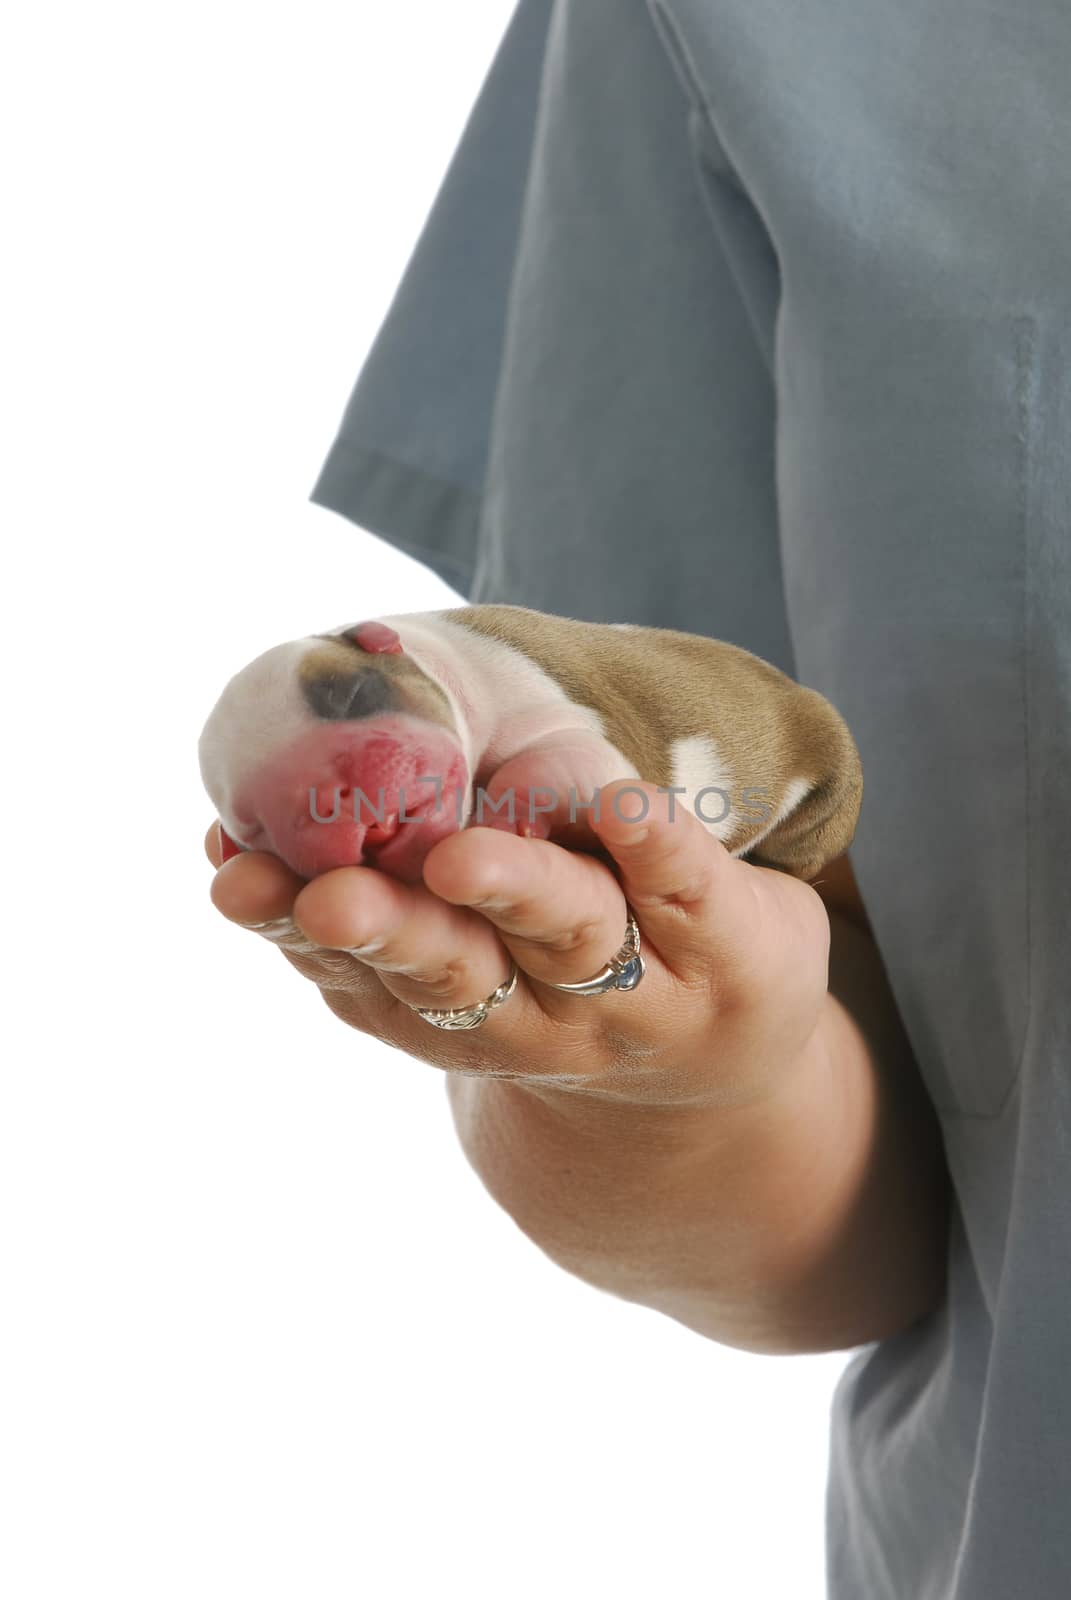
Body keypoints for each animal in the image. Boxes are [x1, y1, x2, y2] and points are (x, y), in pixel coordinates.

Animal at [200, 604, 858, 889]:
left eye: (351, 695)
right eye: (253, 826)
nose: (331, 804)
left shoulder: (575, 717)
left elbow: (561, 757)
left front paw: (504, 813)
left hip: (830, 790)